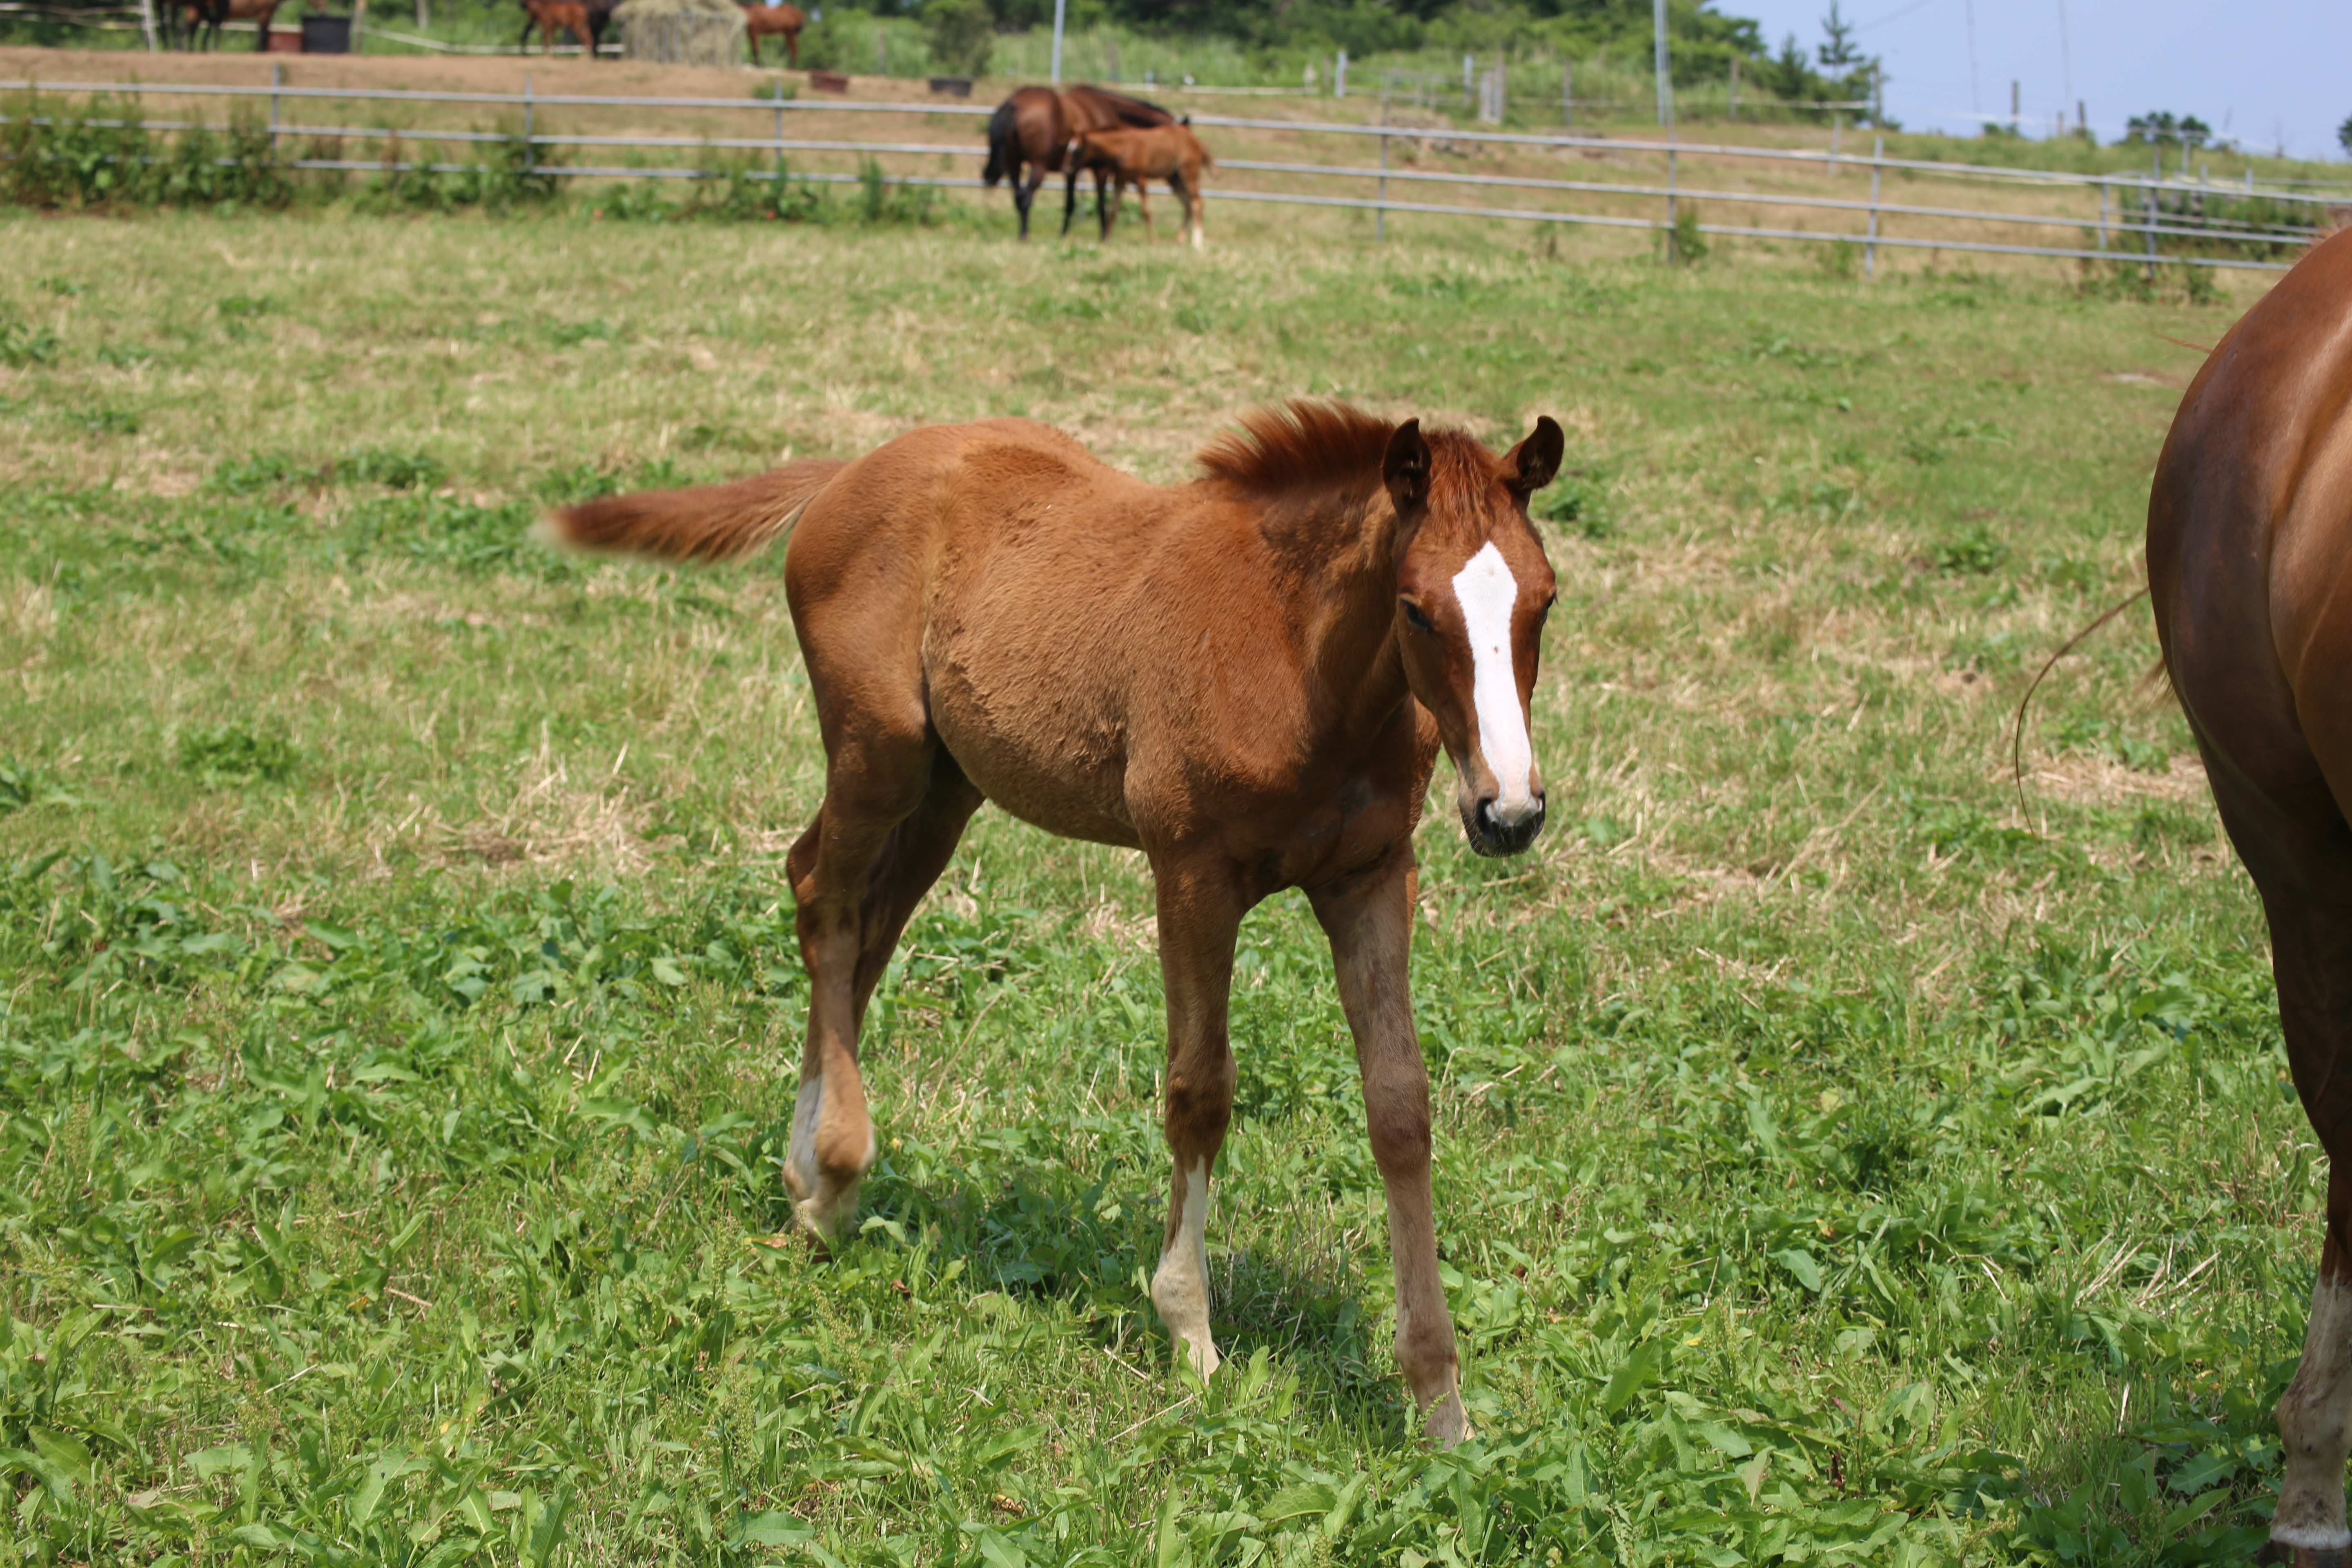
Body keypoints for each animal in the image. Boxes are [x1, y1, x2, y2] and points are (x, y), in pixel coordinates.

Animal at [548, 404, 1561, 1448]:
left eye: (1543, 601)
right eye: (1415, 609)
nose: (1508, 812)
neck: (1299, 657)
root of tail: (851, 471)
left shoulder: (1371, 877)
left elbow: (1400, 1107)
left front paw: (1440, 1403)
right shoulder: (1190, 871)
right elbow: (1201, 1089)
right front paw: (1191, 1336)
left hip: (947, 787)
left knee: (857, 920)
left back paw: (806, 1170)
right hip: (880, 750)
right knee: (824, 902)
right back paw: (829, 1176)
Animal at [743, 1, 809, 67]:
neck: (750, 13)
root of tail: (800, 13)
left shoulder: (754, 33)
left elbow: (755, 50)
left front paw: (758, 65)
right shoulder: (751, 34)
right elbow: (754, 50)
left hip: (791, 33)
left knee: (794, 49)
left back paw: (792, 66)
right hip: (789, 34)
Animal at [978, 85, 1176, 241]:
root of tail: (1015, 104)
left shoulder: (1071, 170)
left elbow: (1070, 204)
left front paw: (1064, 234)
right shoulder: (1101, 169)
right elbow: (1101, 203)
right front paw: (1104, 236)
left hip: (1014, 164)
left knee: (1018, 197)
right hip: (1038, 166)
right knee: (1026, 197)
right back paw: (1025, 235)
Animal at [1072, 121, 1214, 248]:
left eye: (1078, 151)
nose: (1068, 169)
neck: (1124, 146)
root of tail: (1198, 142)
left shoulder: (1140, 179)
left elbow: (1145, 210)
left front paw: (1154, 241)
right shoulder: (1120, 180)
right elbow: (1113, 210)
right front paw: (1105, 240)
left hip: (1188, 175)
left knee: (1197, 203)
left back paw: (1197, 242)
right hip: (1174, 179)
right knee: (1188, 205)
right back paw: (1180, 240)